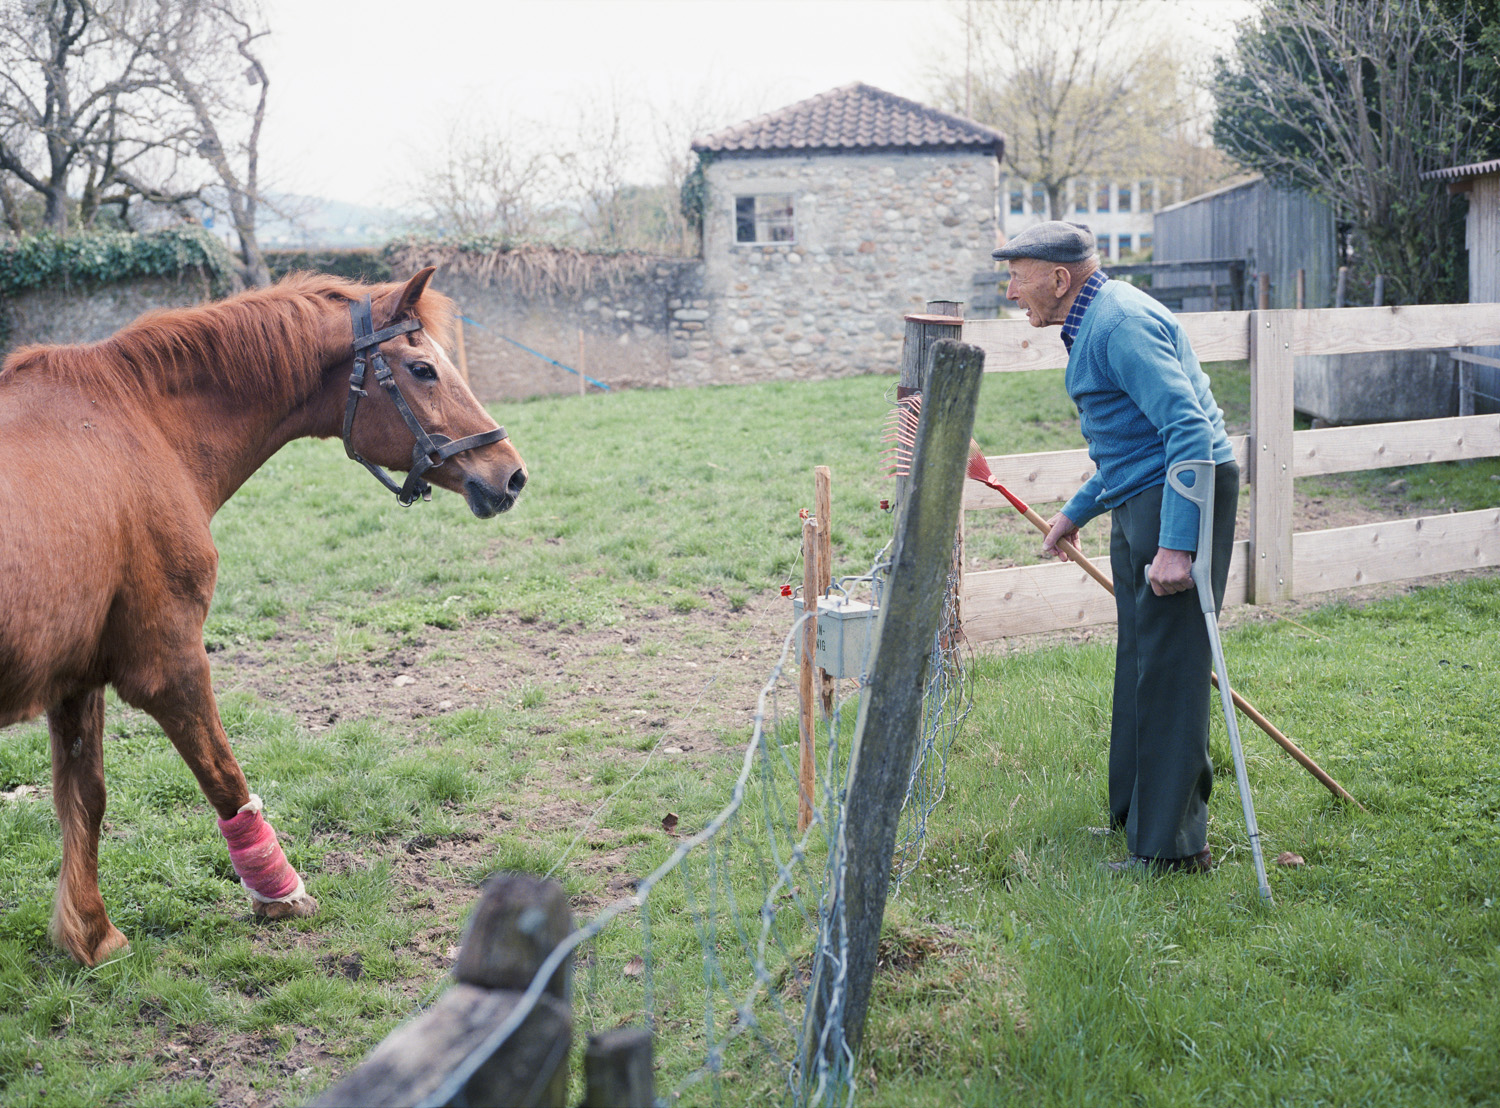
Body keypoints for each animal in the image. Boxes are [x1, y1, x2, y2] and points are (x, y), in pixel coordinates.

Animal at [0, 266, 528, 959]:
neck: (135, 422)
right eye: (423, 370)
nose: (512, 474)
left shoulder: (77, 677)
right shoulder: (167, 662)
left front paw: (91, 934)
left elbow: (84, 797)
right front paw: (279, 895)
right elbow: (223, 777)